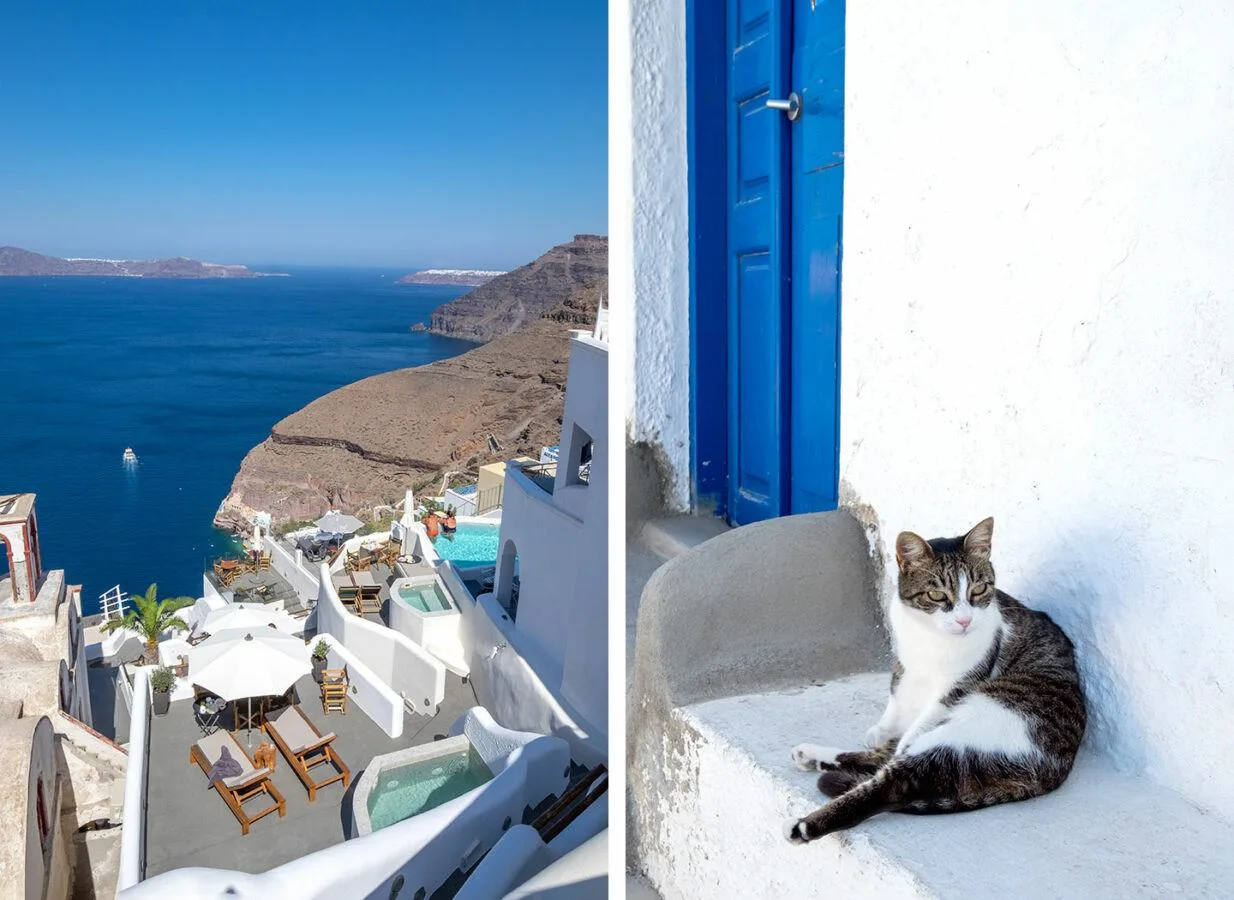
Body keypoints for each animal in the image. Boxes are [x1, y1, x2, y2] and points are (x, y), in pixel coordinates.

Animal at [784, 518, 1085, 844]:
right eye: (937, 595)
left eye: (979, 589)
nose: (965, 620)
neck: (931, 638)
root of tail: (1050, 774)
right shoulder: (904, 665)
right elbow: (896, 697)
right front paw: (882, 728)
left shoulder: (958, 684)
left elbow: (917, 723)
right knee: (882, 761)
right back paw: (812, 754)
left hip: (966, 732)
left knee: (892, 781)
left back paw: (806, 825)